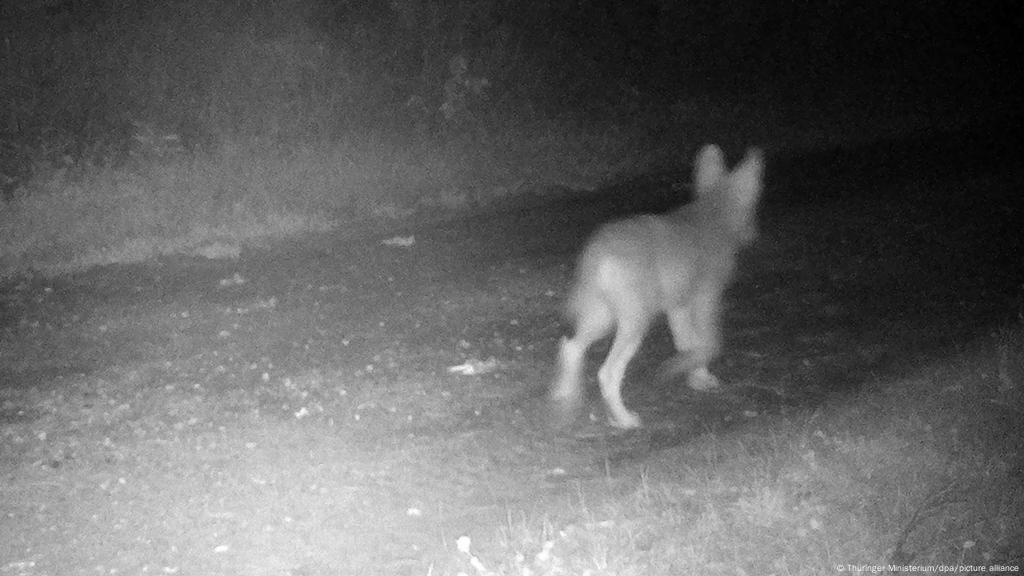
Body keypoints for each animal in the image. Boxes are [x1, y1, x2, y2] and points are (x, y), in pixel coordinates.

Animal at [552, 144, 761, 426]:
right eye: (752, 208)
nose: (754, 235)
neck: (713, 214)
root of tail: (598, 253)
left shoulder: (678, 305)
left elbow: (687, 342)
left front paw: (695, 376)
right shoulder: (706, 297)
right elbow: (708, 342)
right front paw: (691, 372)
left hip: (602, 317)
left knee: (570, 347)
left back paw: (565, 398)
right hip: (634, 322)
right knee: (607, 372)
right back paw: (625, 420)